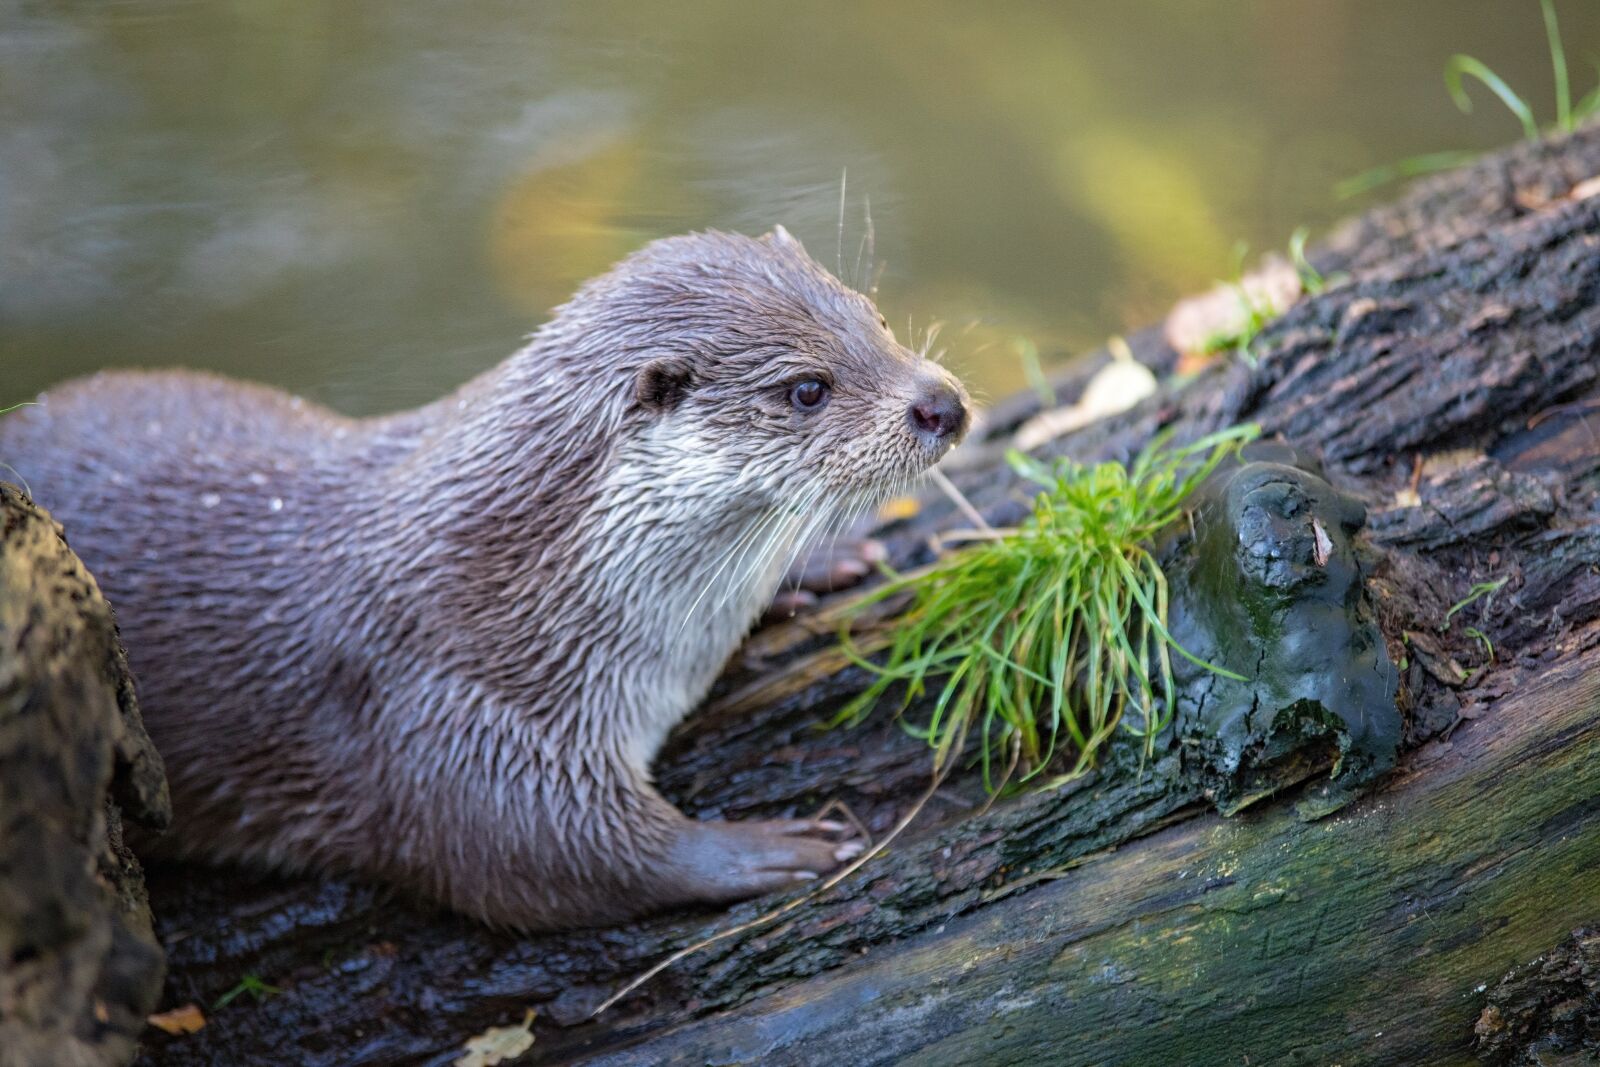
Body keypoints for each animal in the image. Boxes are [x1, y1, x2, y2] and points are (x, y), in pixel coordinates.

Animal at [0, 228, 969, 930]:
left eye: (875, 318)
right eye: (808, 388)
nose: (944, 403)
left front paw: (822, 561)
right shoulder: (447, 709)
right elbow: (534, 855)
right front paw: (772, 846)